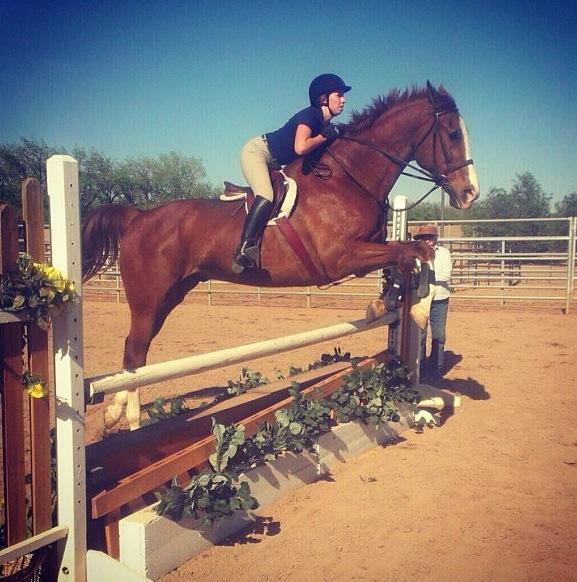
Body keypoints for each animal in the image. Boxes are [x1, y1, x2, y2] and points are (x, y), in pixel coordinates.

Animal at [81, 82, 476, 432]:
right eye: (452, 134)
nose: (470, 193)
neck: (348, 178)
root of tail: (139, 217)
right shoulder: (340, 258)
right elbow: (410, 251)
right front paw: (416, 302)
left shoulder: (366, 250)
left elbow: (400, 259)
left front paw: (385, 305)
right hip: (149, 299)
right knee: (135, 350)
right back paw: (128, 420)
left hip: (171, 294)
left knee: (135, 351)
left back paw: (115, 413)